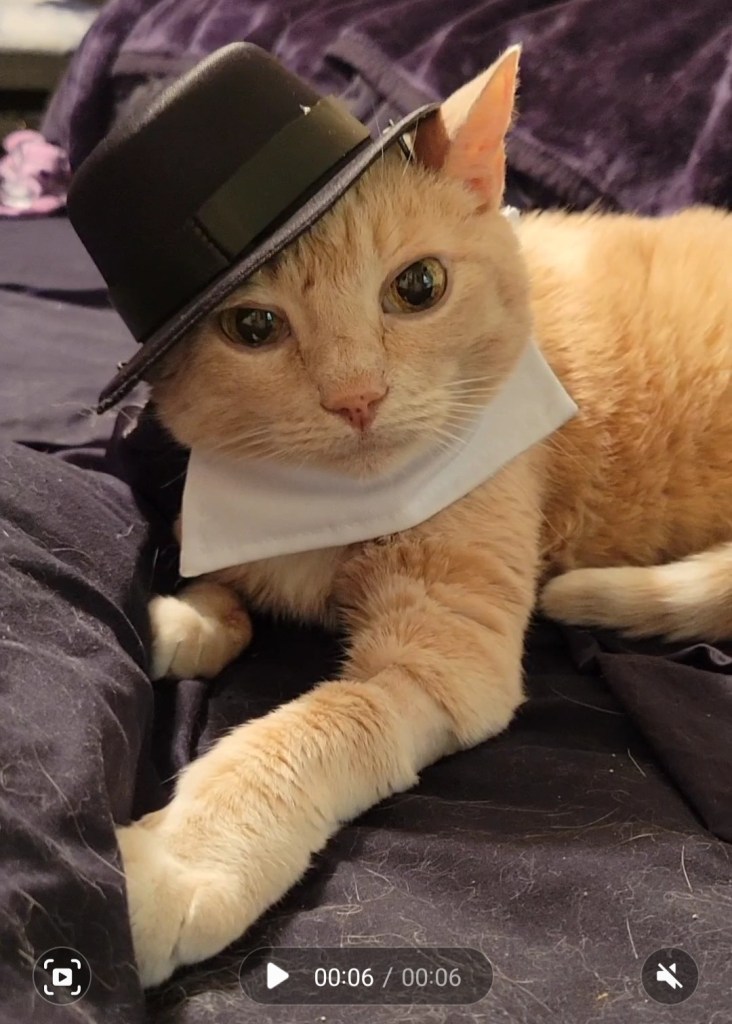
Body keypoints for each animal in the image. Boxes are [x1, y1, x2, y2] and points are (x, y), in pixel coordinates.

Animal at [115, 47, 732, 986]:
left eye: (418, 287)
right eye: (252, 326)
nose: (357, 398)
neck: (326, 507)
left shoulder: (445, 655)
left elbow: (319, 726)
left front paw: (176, 860)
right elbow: (219, 591)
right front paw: (182, 619)